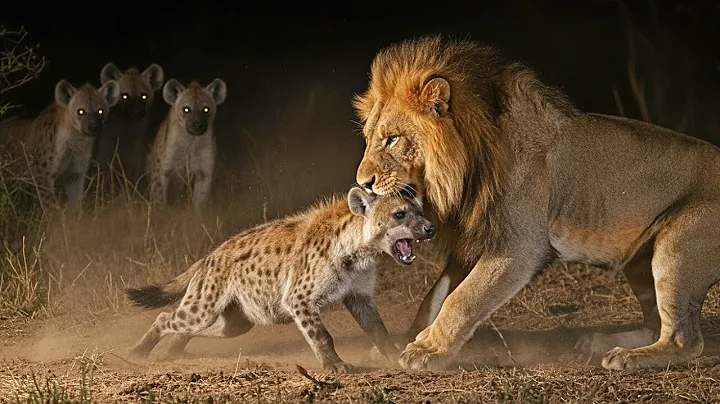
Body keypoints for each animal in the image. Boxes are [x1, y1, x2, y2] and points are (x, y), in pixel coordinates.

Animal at [352, 34, 720, 371]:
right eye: (370, 138)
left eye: (392, 139)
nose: (363, 183)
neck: (470, 164)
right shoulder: (474, 240)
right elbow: (434, 298)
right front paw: (399, 344)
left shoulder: (520, 247)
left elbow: (463, 299)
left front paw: (427, 350)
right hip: (640, 262)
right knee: (656, 324)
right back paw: (598, 342)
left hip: (677, 248)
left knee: (685, 340)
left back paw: (626, 357)